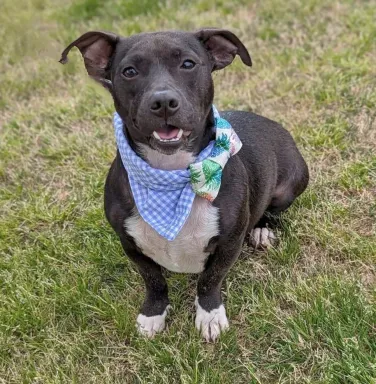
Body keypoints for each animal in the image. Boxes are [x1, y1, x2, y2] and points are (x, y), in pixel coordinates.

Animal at [61, 29, 308, 342]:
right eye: (129, 71)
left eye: (188, 64)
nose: (163, 102)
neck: (172, 176)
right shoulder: (130, 244)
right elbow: (153, 280)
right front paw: (153, 314)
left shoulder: (229, 242)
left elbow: (209, 280)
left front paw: (210, 315)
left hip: (290, 183)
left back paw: (263, 229)